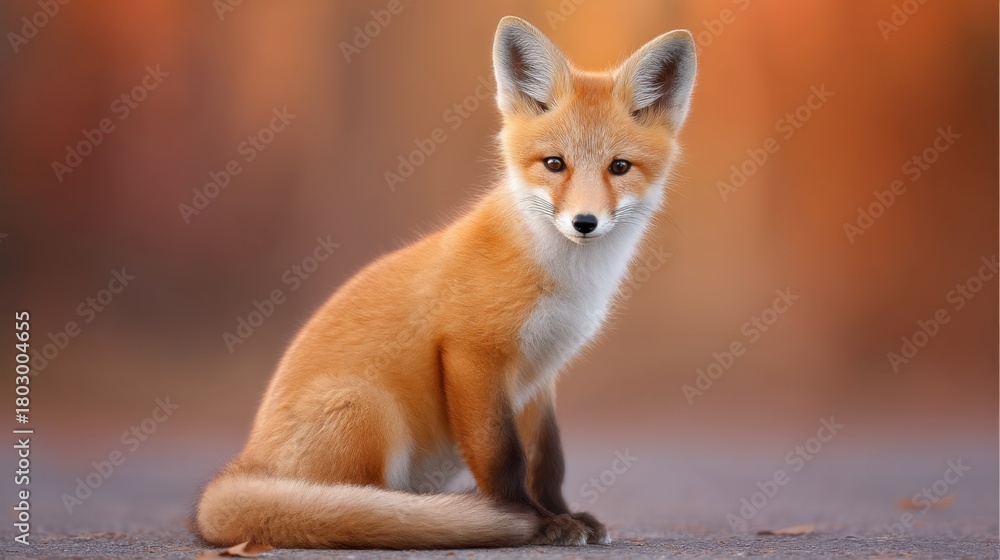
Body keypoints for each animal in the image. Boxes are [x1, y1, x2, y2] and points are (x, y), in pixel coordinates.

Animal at [195, 16, 696, 549]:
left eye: (619, 167)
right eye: (554, 164)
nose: (585, 223)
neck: (566, 280)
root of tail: (246, 462)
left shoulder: (541, 373)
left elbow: (548, 461)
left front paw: (561, 514)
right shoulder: (471, 353)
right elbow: (502, 456)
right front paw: (530, 520)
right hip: (369, 407)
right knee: (358, 507)